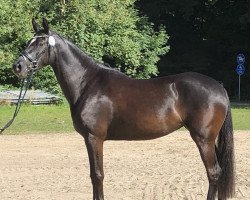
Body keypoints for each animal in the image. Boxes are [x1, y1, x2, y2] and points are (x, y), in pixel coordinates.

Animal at [12, 18, 234, 198]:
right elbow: (93, 175)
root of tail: (219, 87)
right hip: (210, 140)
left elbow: (97, 175)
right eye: (29, 41)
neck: (88, 82)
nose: (18, 67)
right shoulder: (89, 139)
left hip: (203, 139)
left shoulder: (94, 137)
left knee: (213, 173)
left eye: (41, 43)